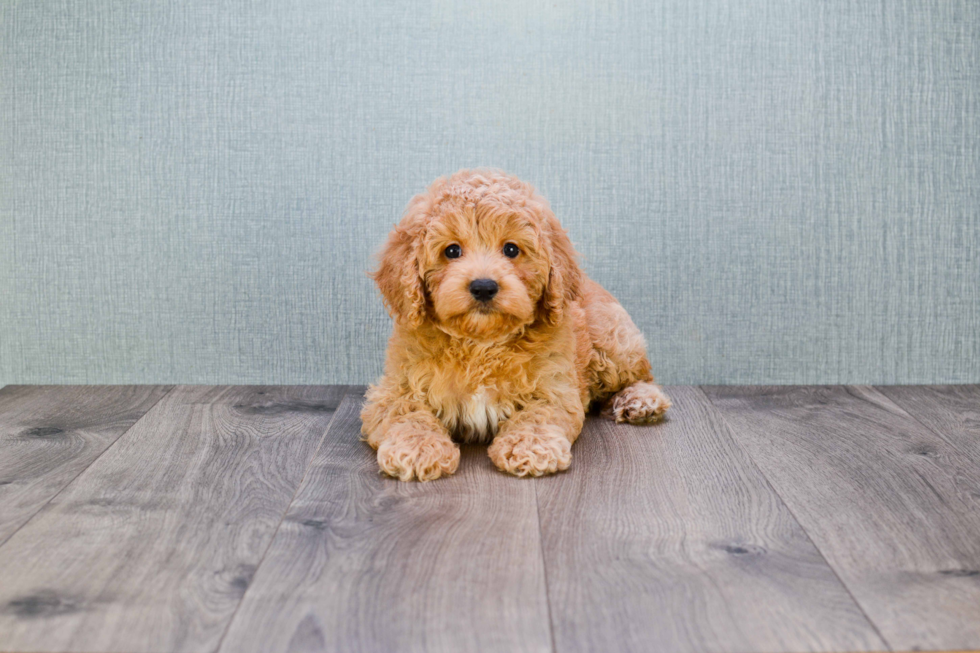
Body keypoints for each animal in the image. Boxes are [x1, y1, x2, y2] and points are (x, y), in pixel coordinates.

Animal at [364, 171, 668, 482]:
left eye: (511, 249)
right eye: (452, 250)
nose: (483, 286)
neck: (481, 344)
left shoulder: (555, 387)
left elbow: (538, 414)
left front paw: (530, 447)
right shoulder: (396, 388)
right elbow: (406, 414)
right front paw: (418, 449)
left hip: (611, 342)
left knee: (642, 375)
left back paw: (640, 401)